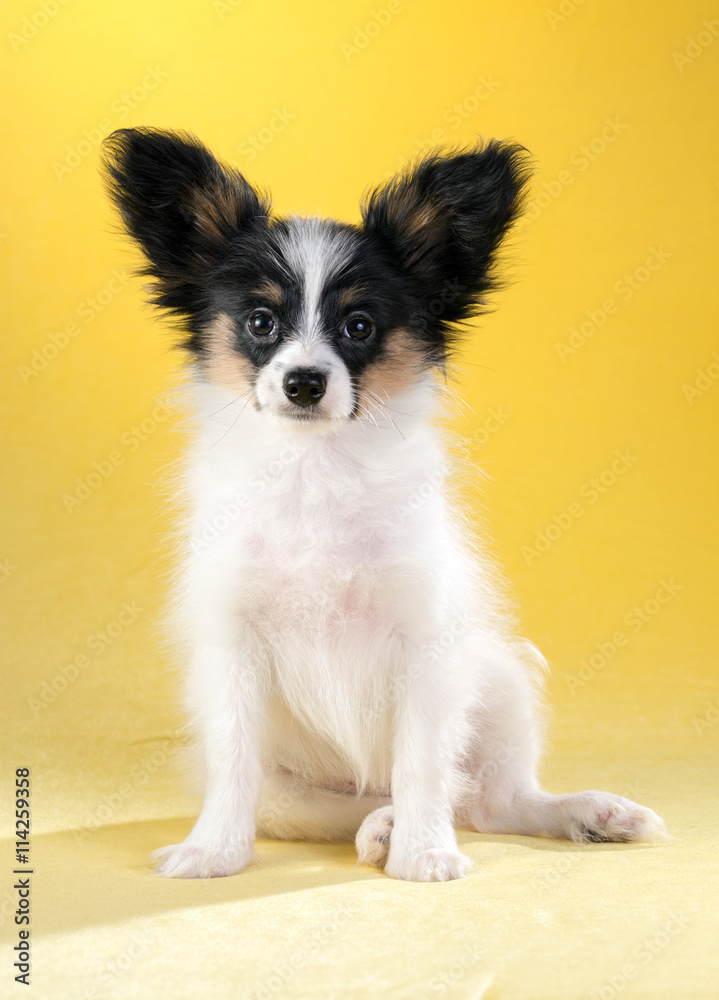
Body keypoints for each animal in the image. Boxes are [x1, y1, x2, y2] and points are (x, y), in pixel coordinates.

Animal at [104, 127, 668, 884]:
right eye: (260, 321)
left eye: (360, 326)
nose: (304, 382)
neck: (316, 470)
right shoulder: (233, 646)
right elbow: (233, 765)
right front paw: (213, 850)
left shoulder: (428, 641)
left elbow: (424, 763)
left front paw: (425, 853)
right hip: (297, 793)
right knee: (366, 804)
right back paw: (380, 824)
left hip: (500, 679)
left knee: (490, 800)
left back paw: (587, 814)